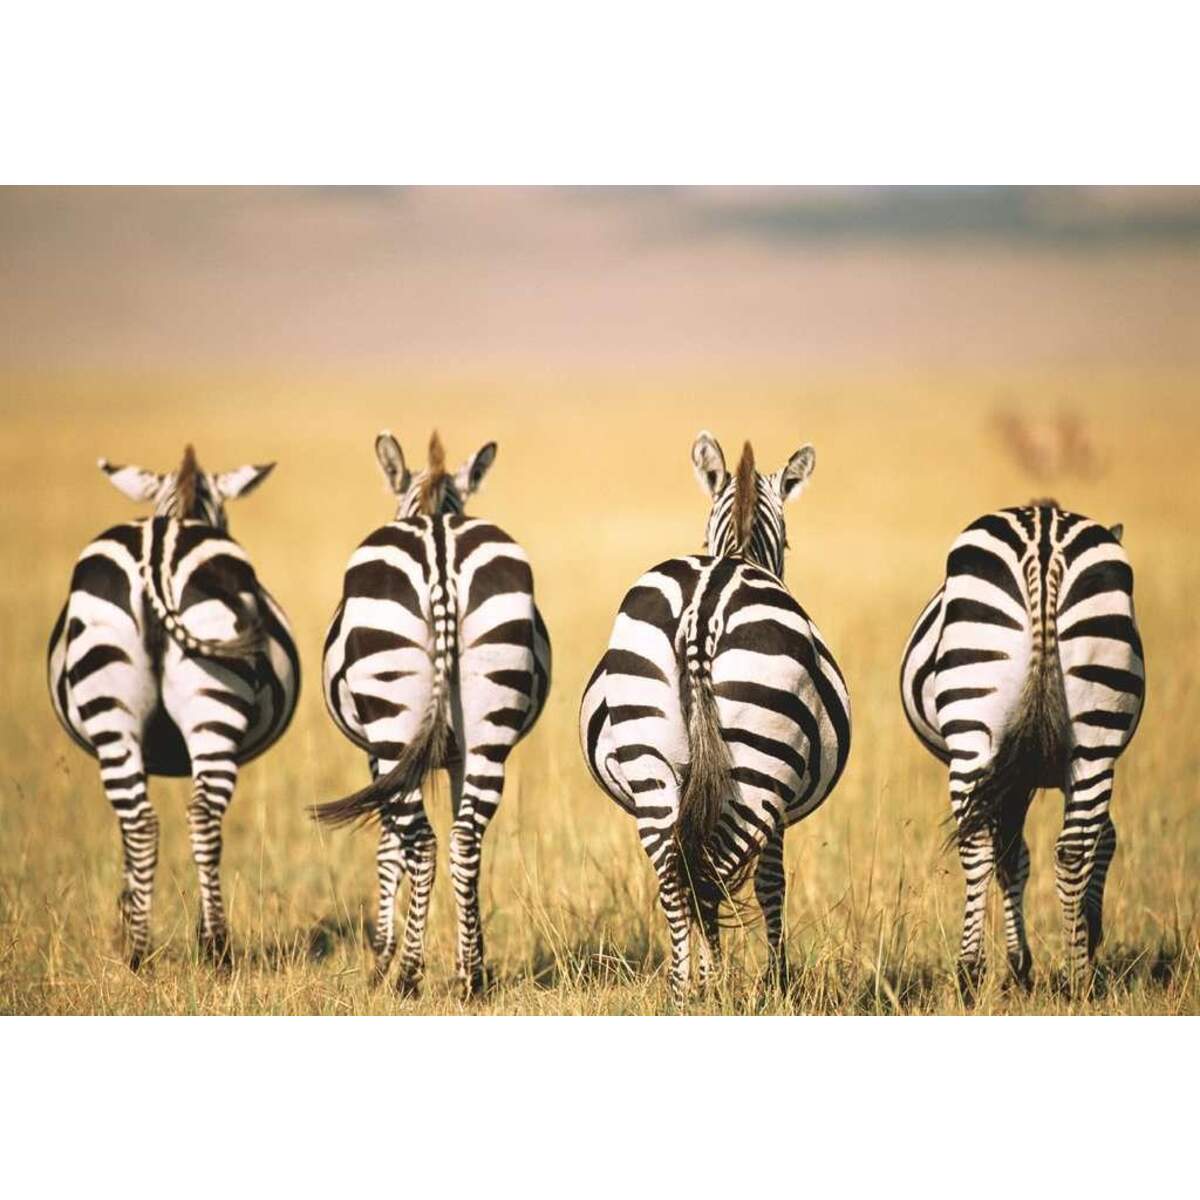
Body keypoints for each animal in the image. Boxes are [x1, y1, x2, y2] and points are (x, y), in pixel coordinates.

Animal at [47, 445, 300, 968]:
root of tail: (158, 547)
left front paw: (129, 918)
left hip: (143, 708)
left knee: (170, 820)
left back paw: (177, 949)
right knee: (177, 819)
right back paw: (172, 946)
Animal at [313, 430, 551, 997]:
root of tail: (439, 549)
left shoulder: (376, 758)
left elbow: (387, 847)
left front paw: (381, 957)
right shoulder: (459, 756)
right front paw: (469, 956)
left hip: (392, 723)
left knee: (420, 843)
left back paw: (406, 974)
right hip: (489, 724)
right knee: (465, 840)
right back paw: (473, 978)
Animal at [579, 431, 851, 1000]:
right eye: (789, 546)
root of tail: (704, 605)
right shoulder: (778, 815)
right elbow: (772, 884)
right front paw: (778, 981)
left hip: (650, 761)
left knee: (674, 874)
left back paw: (682, 991)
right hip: (758, 773)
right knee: (708, 874)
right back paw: (712, 985)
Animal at [900, 501, 1145, 994]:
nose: (1096, 935)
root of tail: (1044, 539)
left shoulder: (1015, 776)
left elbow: (1013, 854)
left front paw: (1022, 962)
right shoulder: (1028, 774)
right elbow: (1081, 842)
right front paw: (1044, 953)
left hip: (977, 731)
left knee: (982, 841)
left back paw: (972, 971)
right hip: (1091, 736)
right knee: (1070, 847)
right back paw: (1074, 977)